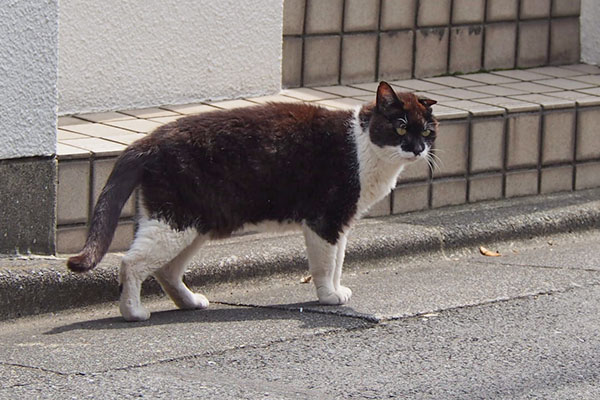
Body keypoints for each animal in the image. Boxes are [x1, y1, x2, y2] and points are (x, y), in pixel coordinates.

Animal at [68, 82, 438, 322]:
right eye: (401, 127)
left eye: (427, 131)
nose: (418, 148)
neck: (364, 148)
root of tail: (147, 140)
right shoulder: (326, 221)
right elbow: (325, 265)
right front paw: (329, 296)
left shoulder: (342, 223)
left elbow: (338, 261)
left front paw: (336, 290)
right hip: (175, 222)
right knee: (131, 263)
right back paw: (133, 312)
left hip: (190, 223)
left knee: (165, 269)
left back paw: (190, 303)